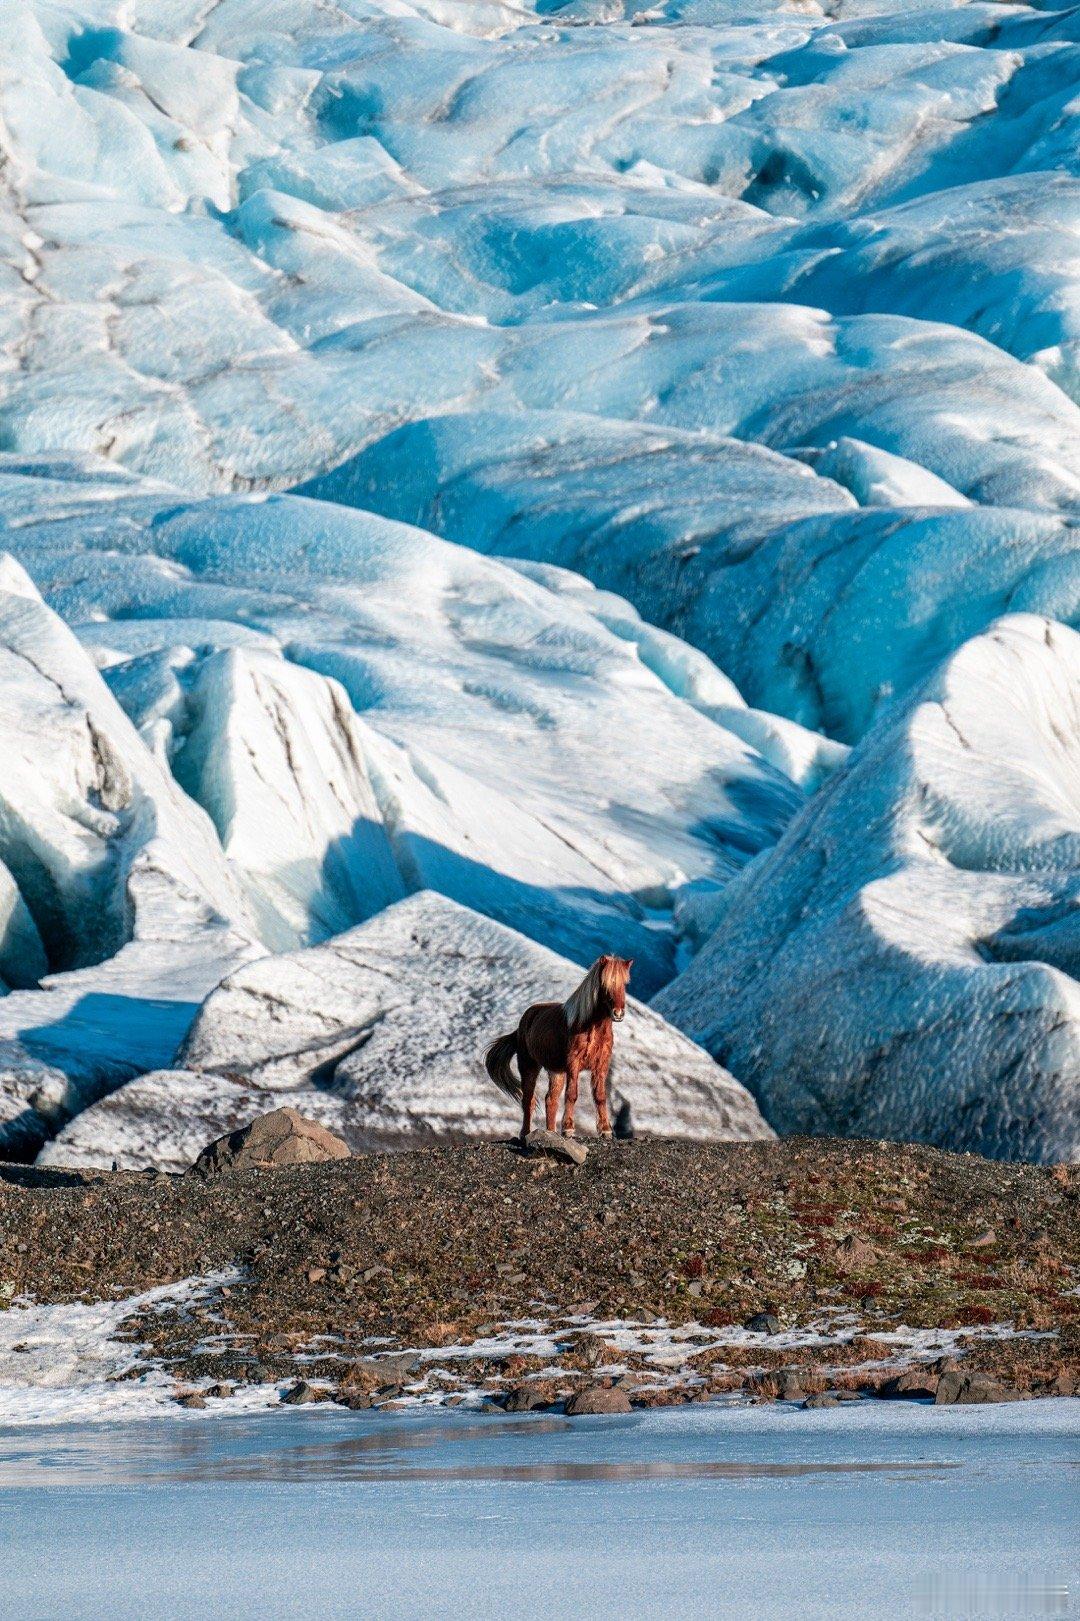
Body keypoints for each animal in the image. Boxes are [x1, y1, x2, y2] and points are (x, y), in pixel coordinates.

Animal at [480, 953, 625, 1147]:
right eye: (605, 984)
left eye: (624, 984)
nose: (618, 1013)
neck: (591, 1028)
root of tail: (522, 1024)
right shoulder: (573, 1064)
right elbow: (572, 1094)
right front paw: (569, 1129)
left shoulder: (601, 1065)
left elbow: (600, 1096)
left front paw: (606, 1130)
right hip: (529, 1067)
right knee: (528, 1100)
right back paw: (525, 1134)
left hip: (556, 1072)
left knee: (551, 1099)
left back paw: (551, 1133)